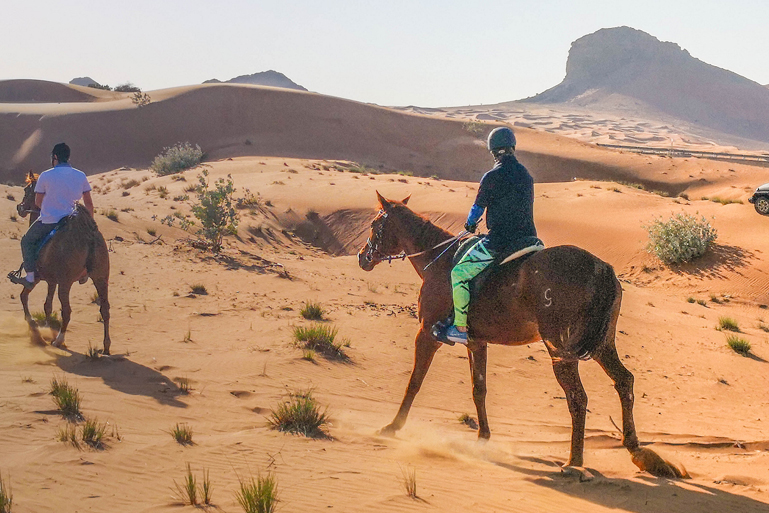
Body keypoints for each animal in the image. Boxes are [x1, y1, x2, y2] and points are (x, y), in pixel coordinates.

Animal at [14, 172, 112, 352]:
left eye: (26, 190)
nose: (20, 207)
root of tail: (90, 238)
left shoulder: (38, 277)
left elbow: (24, 296)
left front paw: (33, 325)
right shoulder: (52, 280)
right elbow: (47, 305)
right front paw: (46, 326)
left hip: (66, 283)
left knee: (66, 311)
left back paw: (59, 340)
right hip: (101, 277)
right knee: (105, 309)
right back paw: (106, 347)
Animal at [358, 192, 684, 476]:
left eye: (375, 224)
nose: (363, 257)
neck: (438, 260)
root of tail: (603, 269)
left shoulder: (427, 333)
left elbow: (414, 382)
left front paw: (392, 427)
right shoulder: (476, 342)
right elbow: (479, 389)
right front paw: (483, 437)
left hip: (560, 351)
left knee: (578, 398)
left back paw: (574, 462)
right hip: (603, 345)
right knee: (624, 381)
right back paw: (635, 449)